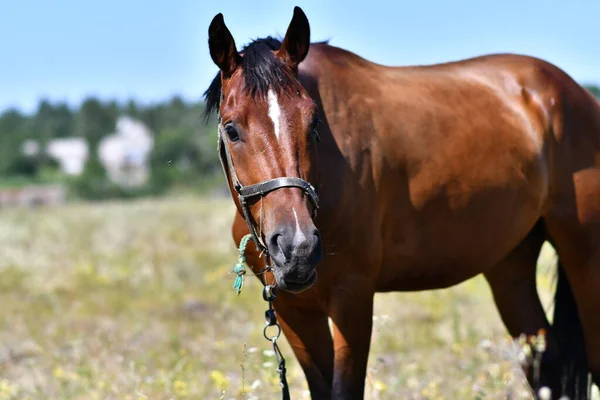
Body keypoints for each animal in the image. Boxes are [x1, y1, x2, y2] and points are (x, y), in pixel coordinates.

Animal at [203, 7, 600, 400]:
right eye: (232, 128)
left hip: (583, 255)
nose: (297, 247)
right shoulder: (293, 309)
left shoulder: (352, 297)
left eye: (314, 122)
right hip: (510, 264)